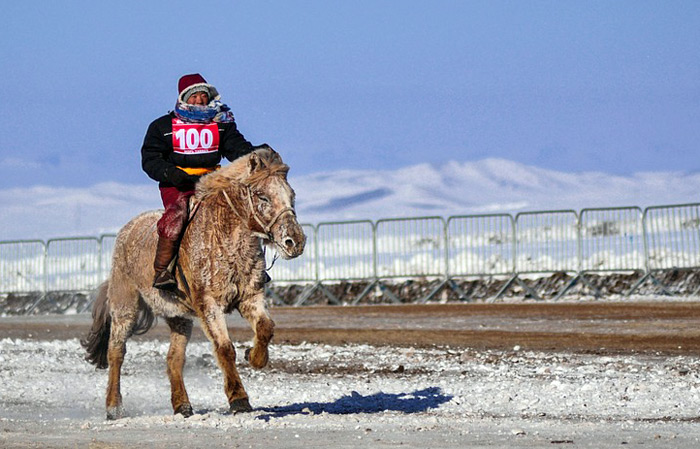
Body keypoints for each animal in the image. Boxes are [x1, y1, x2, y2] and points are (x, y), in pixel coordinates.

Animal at [80, 145, 304, 418]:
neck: (224, 237)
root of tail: (127, 230)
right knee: (116, 352)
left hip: (178, 317)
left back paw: (183, 405)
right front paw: (239, 399)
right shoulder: (208, 304)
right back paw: (114, 407)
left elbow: (265, 327)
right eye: (262, 196)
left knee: (173, 358)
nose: (295, 242)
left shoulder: (250, 297)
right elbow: (224, 348)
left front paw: (254, 356)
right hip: (125, 306)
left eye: (291, 195)